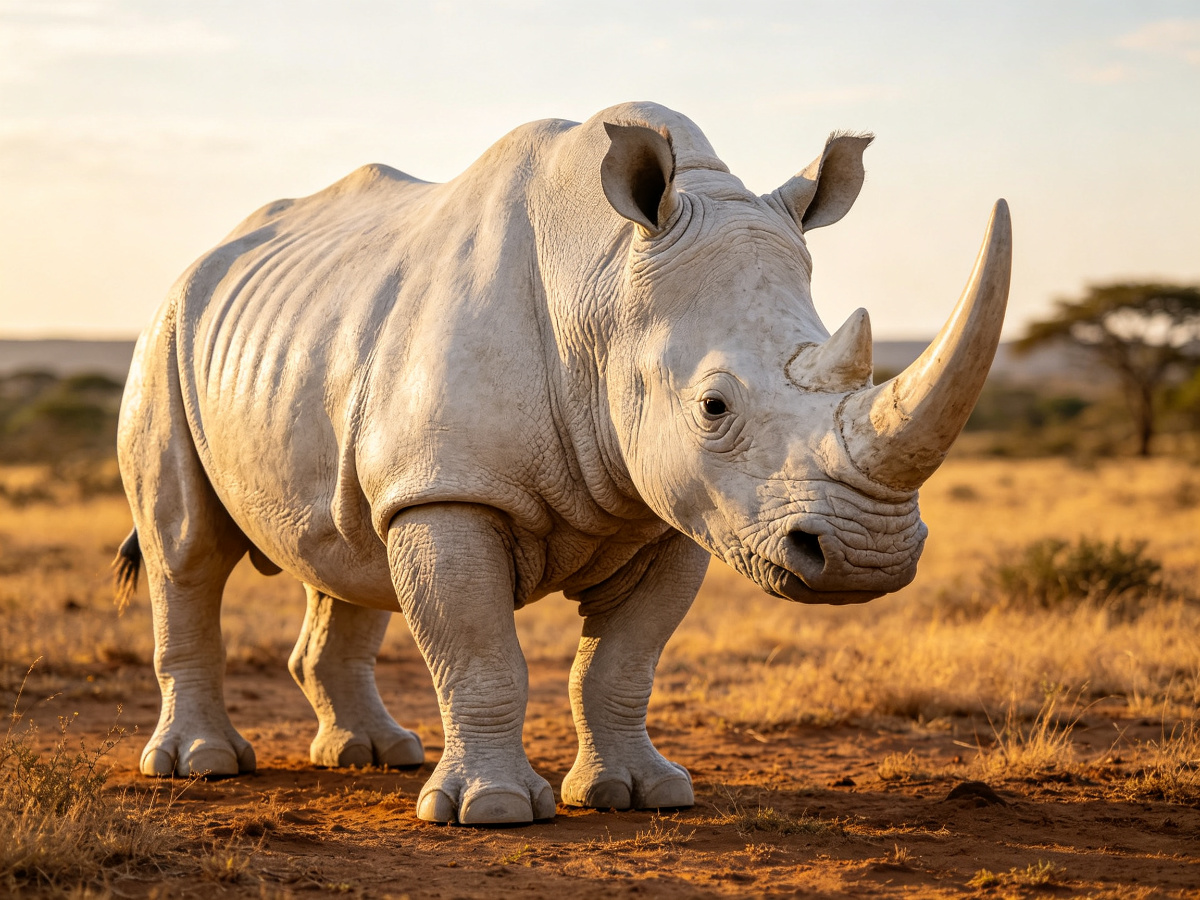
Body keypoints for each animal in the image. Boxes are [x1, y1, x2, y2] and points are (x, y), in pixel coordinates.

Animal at [113, 101, 1010, 825]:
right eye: (713, 408)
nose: (868, 559)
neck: (605, 286)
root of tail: (206, 258)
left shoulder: (675, 511)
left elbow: (622, 663)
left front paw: (643, 795)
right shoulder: (451, 491)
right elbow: (480, 654)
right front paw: (493, 811)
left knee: (346, 547)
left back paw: (376, 755)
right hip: (165, 335)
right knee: (186, 549)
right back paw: (201, 767)